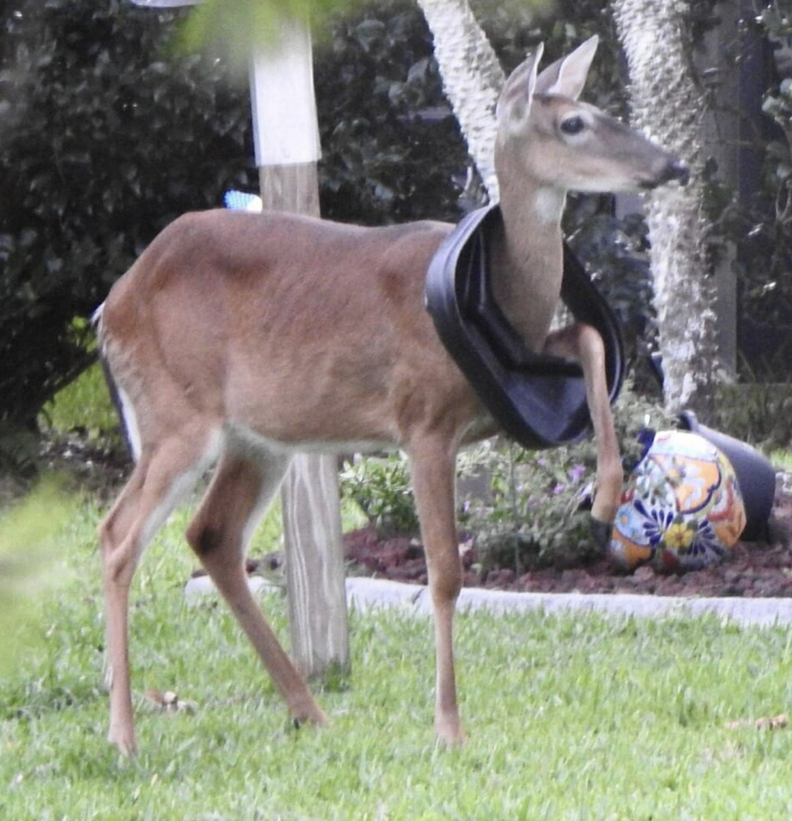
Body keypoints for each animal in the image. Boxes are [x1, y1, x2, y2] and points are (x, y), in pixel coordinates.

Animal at [94, 35, 688, 755]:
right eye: (574, 122)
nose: (673, 163)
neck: (503, 293)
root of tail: (111, 307)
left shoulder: (505, 380)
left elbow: (593, 339)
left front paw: (604, 494)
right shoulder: (422, 419)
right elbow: (445, 573)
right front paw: (449, 726)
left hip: (258, 438)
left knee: (211, 535)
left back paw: (309, 711)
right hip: (175, 413)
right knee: (118, 536)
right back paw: (124, 734)